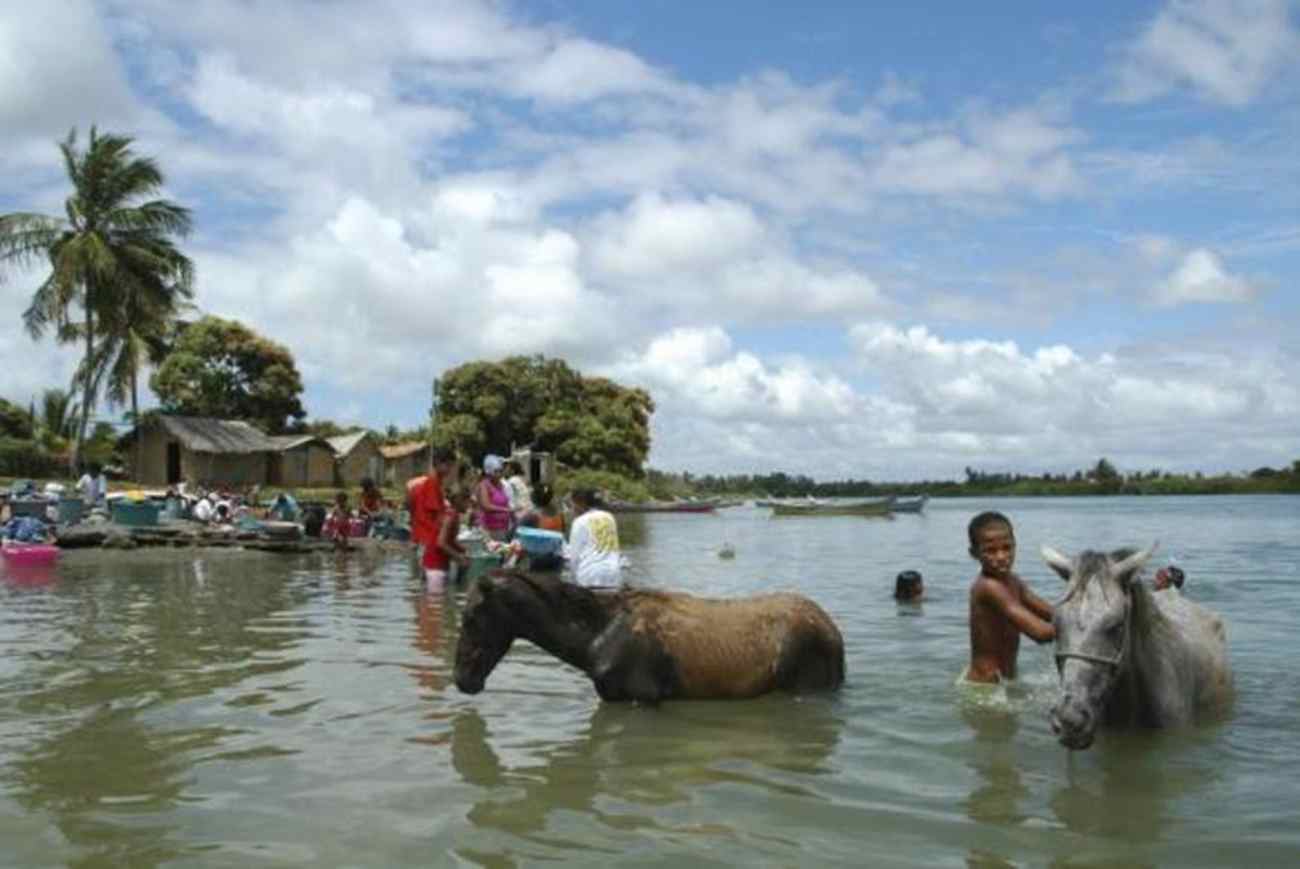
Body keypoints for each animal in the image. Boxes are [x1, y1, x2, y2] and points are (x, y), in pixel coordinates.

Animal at [453, 569, 846, 702]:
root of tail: (833, 632)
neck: (595, 636)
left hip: (804, 688)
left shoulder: (643, 699)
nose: (462, 679)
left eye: (471, 618)